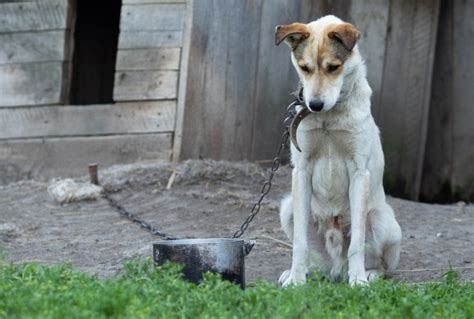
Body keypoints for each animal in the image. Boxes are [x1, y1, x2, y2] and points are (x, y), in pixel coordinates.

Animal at [276, 15, 402, 286]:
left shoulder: (359, 173)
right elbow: (299, 243)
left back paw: (368, 274)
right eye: (304, 67)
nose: (314, 105)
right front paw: (296, 280)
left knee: (382, 265)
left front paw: (358, 282)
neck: (329, 118)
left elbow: (357, 243)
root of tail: (336, 267)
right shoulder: (301, 171)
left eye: (333, 67)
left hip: (382, 220)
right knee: (314, 258)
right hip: (288, 207)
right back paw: (301, 272)